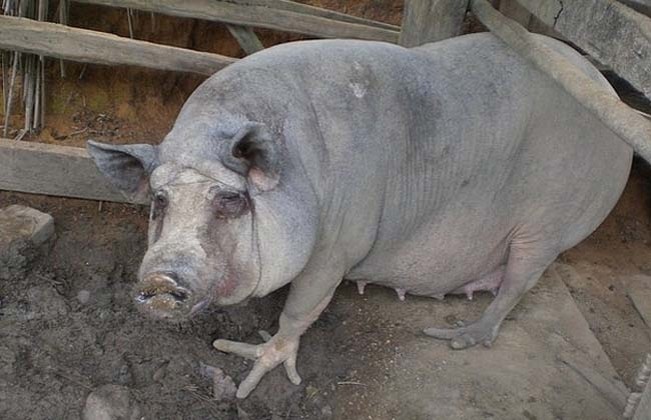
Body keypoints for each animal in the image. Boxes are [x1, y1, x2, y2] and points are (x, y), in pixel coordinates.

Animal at [87, 33, 632, 398]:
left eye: (231, 200)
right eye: (160, 201)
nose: (161, 278)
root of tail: (604, 86)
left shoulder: (338, 244)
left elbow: (300, 309)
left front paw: (248, 372)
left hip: (547, 227)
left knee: (517, 286)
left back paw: (456, 338)